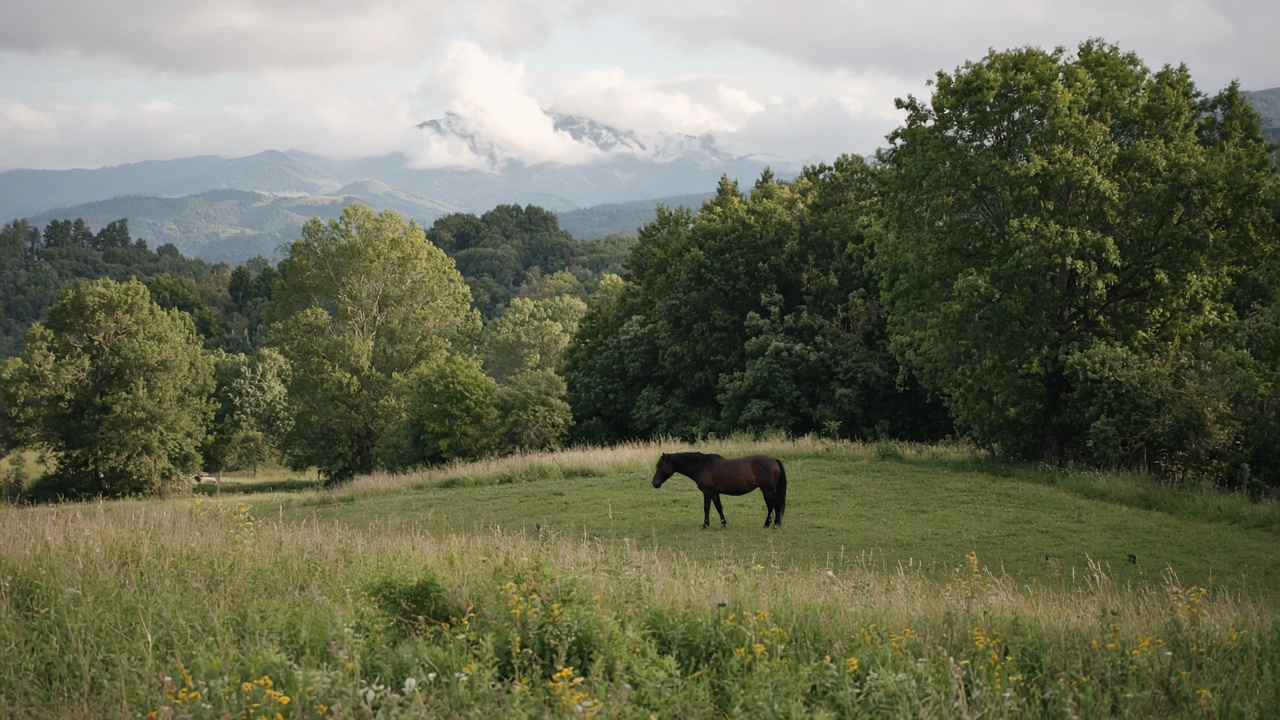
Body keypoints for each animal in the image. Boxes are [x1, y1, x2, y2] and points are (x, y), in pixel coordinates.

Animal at [651, 452, 787, 529]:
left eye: (660, 465)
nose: (654, 483)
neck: (702, 465)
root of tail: (774, 460)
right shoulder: (714, 492)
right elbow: (718, 507)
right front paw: (723, 522)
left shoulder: (707, 491)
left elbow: (707, 507)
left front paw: (705, 524)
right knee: (772, 505)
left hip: (767, 489)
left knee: (774, 505)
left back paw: (772, 524)